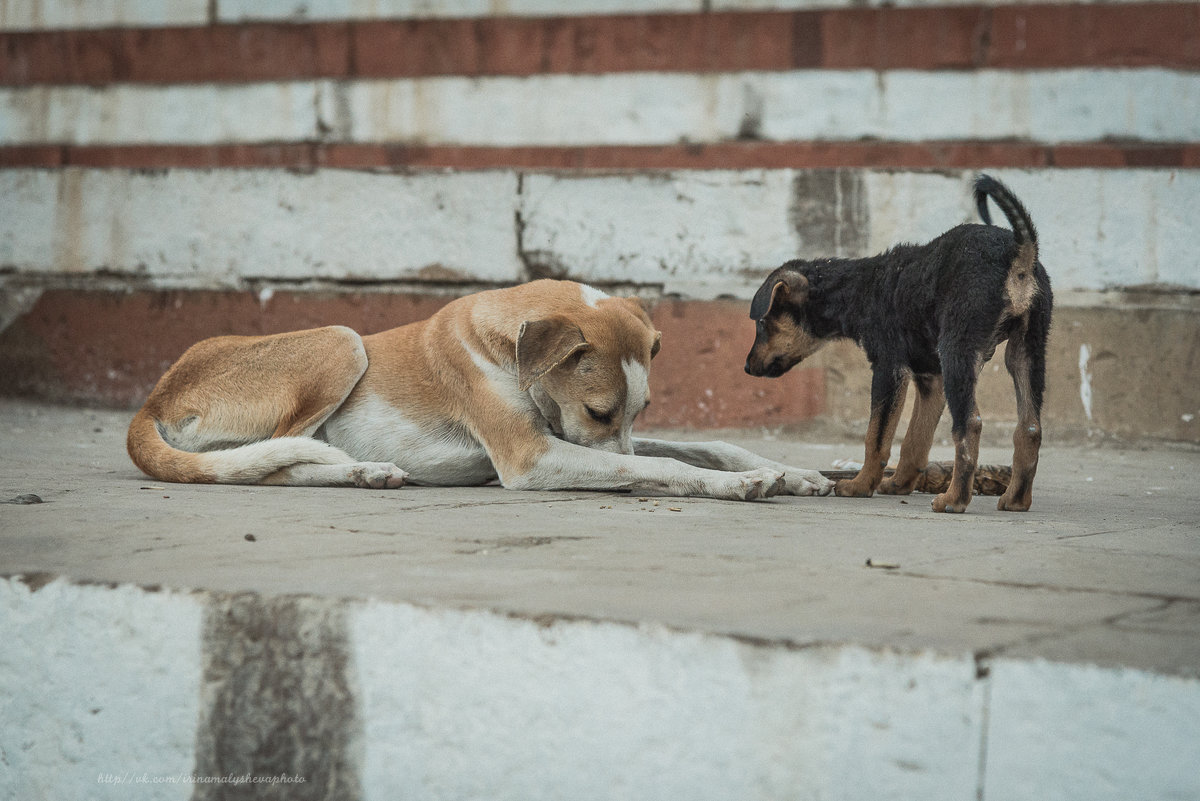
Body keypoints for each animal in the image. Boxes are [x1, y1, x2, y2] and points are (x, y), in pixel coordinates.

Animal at [126, 278, 830, 496]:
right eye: (599, 410)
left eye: (638, 411)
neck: (505, 343)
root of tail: (155, 395)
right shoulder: (533, 457)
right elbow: (660, 468)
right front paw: (740, 483)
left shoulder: (574, 439)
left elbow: (704, 448)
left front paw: (797, 473)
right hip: (341, 340)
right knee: (273, 462)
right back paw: (357, 469)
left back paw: (365, 471)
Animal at [744, 175, 1056, 513]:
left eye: (762, 324)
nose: (747, 367)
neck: (860, 289)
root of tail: (1019, 254)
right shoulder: (931, 378)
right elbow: (915, 440)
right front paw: (899, 484)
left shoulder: (889, 368)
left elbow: (876, 437)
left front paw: (860, 485)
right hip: (1026, 352)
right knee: (1029, 427)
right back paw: (1015, 499)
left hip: (958, 353)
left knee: (969, 425)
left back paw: (954, 499)